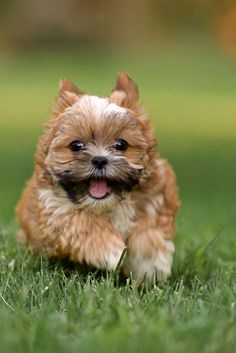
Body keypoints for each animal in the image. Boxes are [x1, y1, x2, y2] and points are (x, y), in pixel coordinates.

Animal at [16, 73, 179, 282]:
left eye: (121, 144)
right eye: (76, 145)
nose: (100, 160)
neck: (110, 205)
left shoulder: (157, 196)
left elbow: (149, 228)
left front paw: (151, 265)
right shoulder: (55, 209)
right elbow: (82, 222)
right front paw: (113, 252)